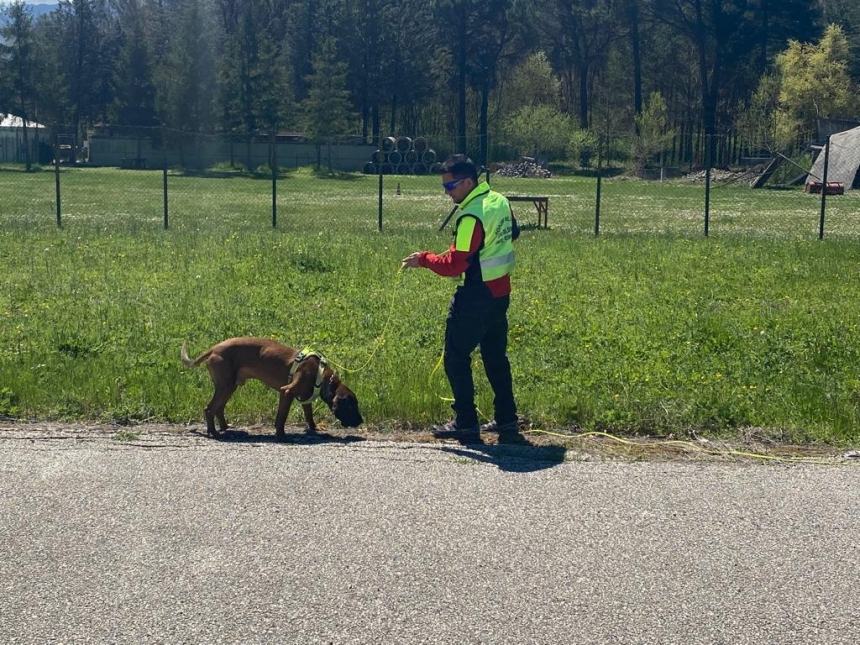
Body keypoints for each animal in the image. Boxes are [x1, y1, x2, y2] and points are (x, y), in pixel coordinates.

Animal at [180, 338, 362, 438]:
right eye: (351, 406)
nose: (361, 421)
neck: (321, 374)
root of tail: (214, 349)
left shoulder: (305, 397)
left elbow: (309, 415)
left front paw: (314, 428)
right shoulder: (286, 391)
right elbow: (281, 417)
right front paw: (281, 435)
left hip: (229, 386)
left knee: (218, 408)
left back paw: (225, 427)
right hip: (226, 385)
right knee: (209, 409)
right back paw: (214, 432)